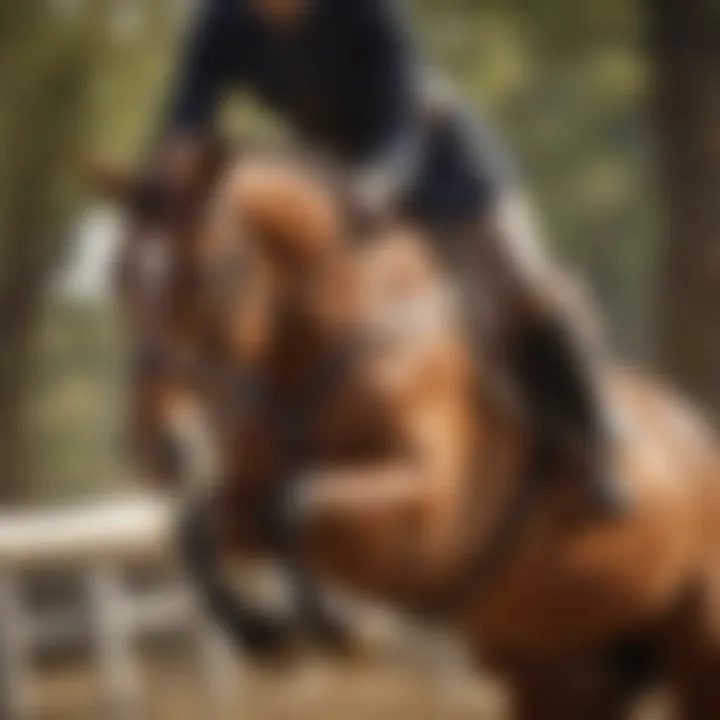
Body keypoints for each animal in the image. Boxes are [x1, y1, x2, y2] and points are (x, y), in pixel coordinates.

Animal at [93, 149, 720, 716]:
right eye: (120, 276)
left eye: (211, 272)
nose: (157, 448)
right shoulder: (247, 495)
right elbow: (204, 527)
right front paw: (264, 632)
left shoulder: (426, 512)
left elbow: (292, 505)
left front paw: (345, 628)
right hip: (563, 671)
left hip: (697, 646)